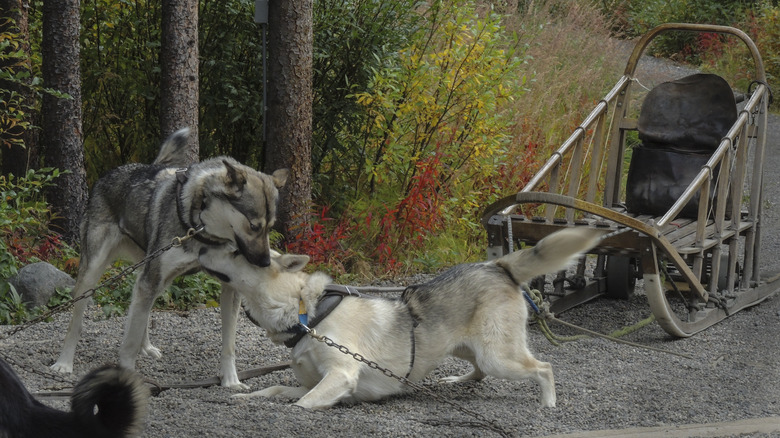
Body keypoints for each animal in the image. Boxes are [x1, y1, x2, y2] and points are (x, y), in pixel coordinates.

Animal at [51, 128, 290, 388]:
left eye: (270, 227)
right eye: (254, 226)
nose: (264, 262)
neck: (201, 229)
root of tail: (110, 174)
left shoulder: (228, 288)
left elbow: (229, 345)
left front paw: (230, 381)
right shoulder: (150, 280)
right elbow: (129, 341)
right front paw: (128, 374)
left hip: (153, 278)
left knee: (141, 312)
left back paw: (146, 347)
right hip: (95, 274)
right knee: (77, 322)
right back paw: (64, 362)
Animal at [198, 228, 600, 408]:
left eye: (235, 251)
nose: (200, 246)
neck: (308, 315)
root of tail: (497, 266)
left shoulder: (341, 375)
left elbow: (300, 404)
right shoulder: (312, 382)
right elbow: (276, 390)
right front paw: (246, 396)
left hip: (498, 356)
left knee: (543, 368)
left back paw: (548, 403)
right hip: (465, 348)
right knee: (478, 371)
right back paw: (456, 380)